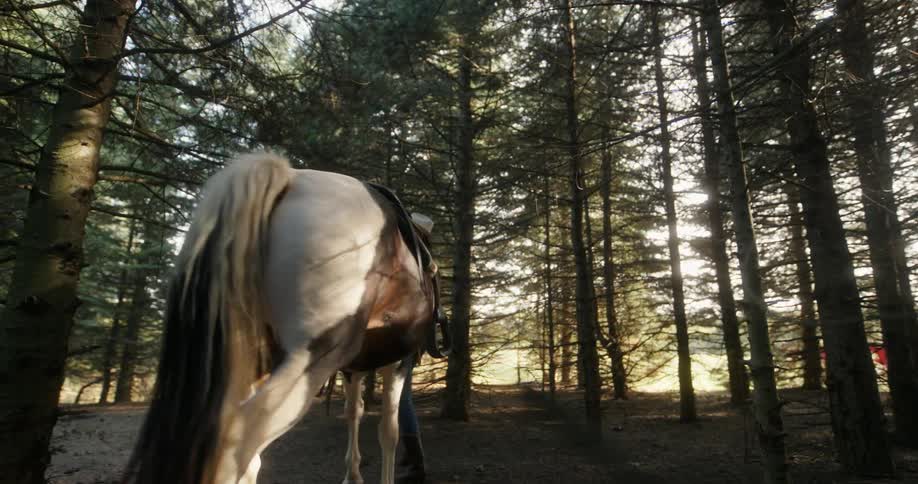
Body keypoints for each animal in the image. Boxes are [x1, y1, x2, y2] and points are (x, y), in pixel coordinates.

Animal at [121, 152, 450, 484]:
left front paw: (352, 474)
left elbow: (353, 411)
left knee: (247, 457)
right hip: (308, 363)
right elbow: (389, 431)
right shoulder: (398, 360)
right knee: (235, 451)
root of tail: (288, 180)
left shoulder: (354, 368)